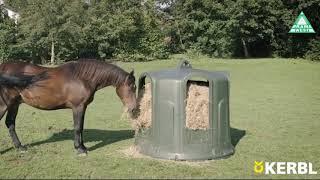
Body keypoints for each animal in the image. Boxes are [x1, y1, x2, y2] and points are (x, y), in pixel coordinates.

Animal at [0, 60, 136, 155]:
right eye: (132, 87)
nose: (134, 109)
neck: (82, 78)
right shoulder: (77, 107)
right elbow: (77, 127)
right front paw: (79, 149)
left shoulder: (83, 107)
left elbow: (81, 127)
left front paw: (83, 146)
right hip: (4, 104)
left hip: (14, 104)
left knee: (10, 123)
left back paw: (20, 147)